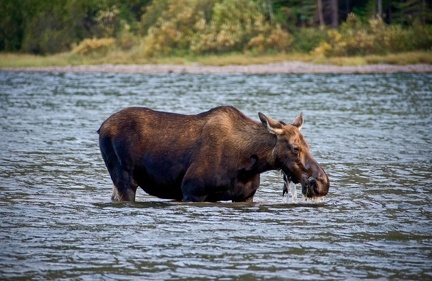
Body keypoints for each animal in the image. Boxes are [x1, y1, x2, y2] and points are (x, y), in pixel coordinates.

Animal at [97, 105, 328, 201]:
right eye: (295, 148)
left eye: (308, 145)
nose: (322, 183)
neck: (249, 163)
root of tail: (101, 127)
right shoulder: (192, 191)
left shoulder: (245, 197)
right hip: (124, 178)